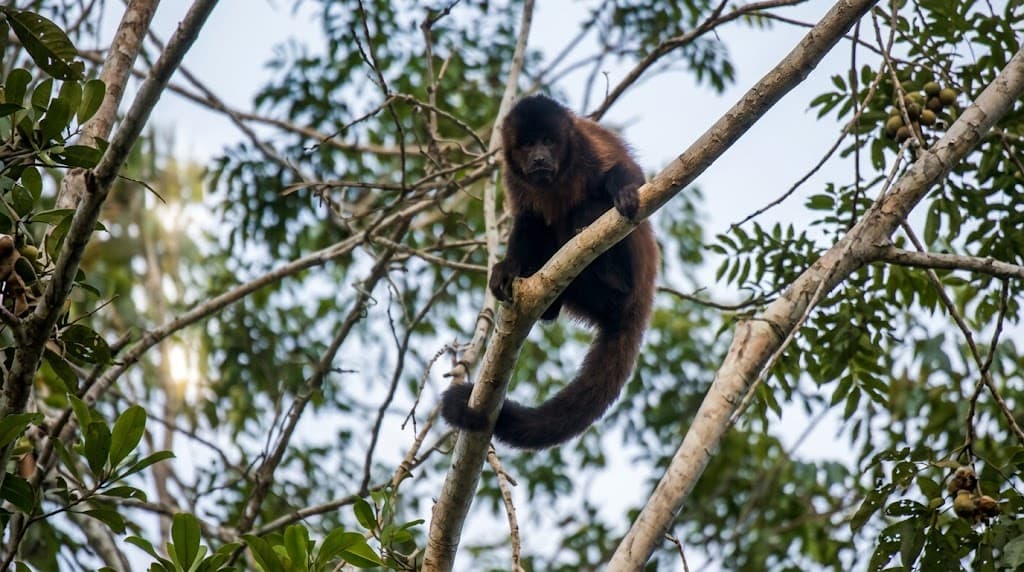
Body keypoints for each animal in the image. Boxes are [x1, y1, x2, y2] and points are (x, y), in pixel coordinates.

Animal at [441, 95, 658, 449]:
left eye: (548, 141)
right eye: (529, 144)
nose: (540, 157)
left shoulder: (586, 145)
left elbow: (625, 171)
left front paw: (625, 191)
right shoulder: (512, 175)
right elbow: (527, 222)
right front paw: (506, 270)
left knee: (588, 208)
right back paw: (548, 304)